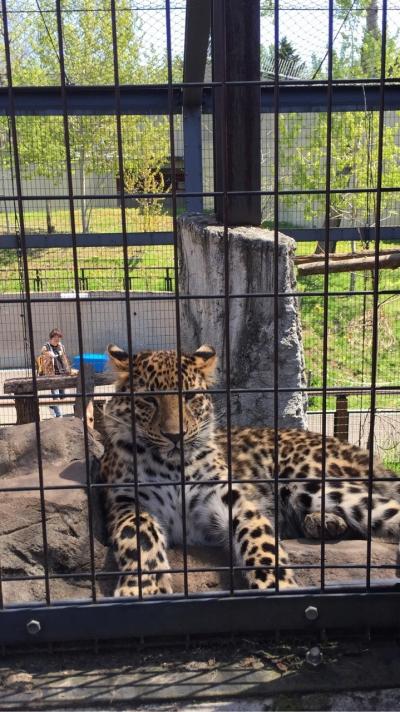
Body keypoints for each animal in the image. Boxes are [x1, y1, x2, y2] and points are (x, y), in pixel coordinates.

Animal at [100, 342, 400, 596]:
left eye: (190, 397)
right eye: (149, 399)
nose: (175, 435)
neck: (172, 466)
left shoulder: (230, 499)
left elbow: (260, 542)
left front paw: (279, 586)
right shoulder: (126, 501)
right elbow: (138, 538)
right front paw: (143, 589)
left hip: (310, 480)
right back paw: (323, 523)